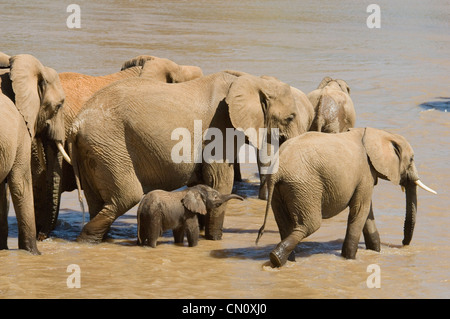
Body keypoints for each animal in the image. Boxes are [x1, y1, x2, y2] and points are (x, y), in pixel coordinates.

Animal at [69, 71, 306, 244]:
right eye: (290, 117)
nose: (259, 236)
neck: (251, 80)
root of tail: (77, 124)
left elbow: (202, 184)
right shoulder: (219, 128)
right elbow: (221, 182)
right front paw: (214, 240)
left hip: (94, 150)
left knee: (98, 200)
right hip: (110, 145)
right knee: (127, 196)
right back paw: (87, 240)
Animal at [256, 127, 436, 268]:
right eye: (411, 159)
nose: (404, 244)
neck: (380, 133)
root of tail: (279, 170)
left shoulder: (365, 177)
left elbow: (367, 213)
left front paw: (375, 252)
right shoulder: (365, 172)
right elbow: (360, 211)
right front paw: (349, 259)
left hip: (282, 190)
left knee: (285, 225)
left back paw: (285, 261)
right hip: (304, 186)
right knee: (309, 225)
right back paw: (277, 259)